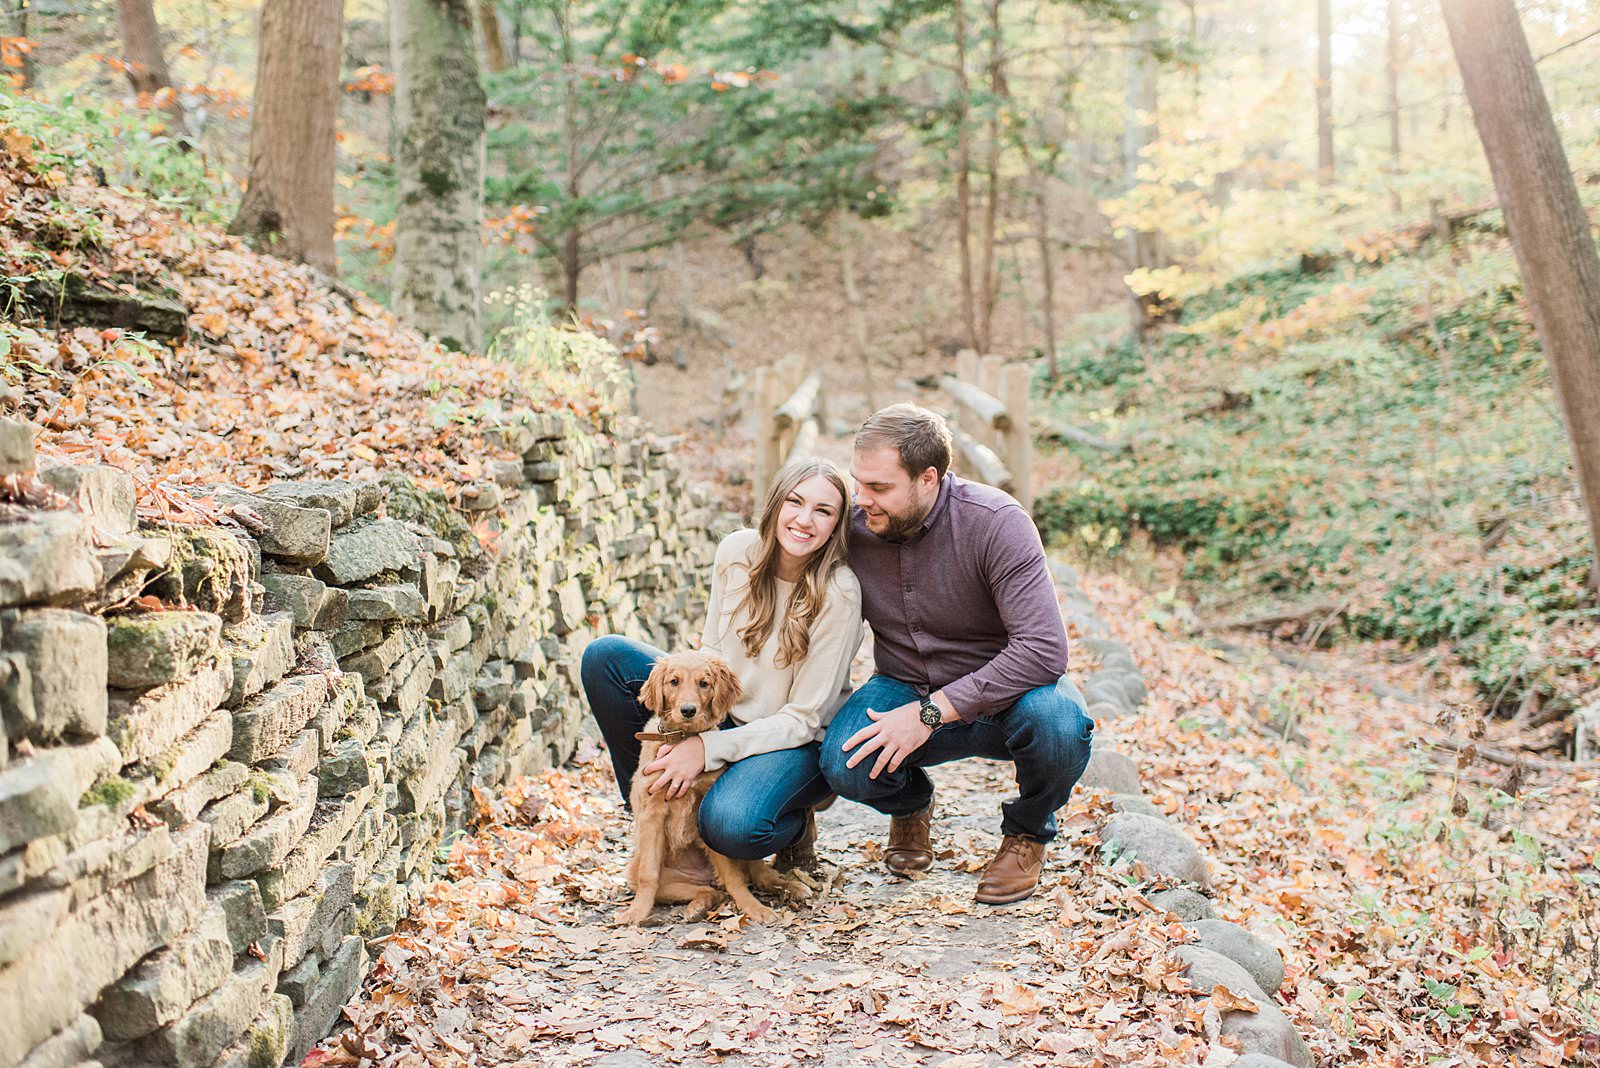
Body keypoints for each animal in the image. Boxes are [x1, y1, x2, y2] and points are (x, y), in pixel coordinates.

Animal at [617, 652, 806, 927]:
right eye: (674, 682)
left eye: (704, 684)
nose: (688, 710)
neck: (682, 739)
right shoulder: (652, 814)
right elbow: (648, 875)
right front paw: (637, 912)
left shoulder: (703, 812)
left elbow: (733, 877)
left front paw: (752, 907)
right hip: (656, 875)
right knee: (711, 891)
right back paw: (697, 907)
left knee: (754, 875)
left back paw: (789, 888)